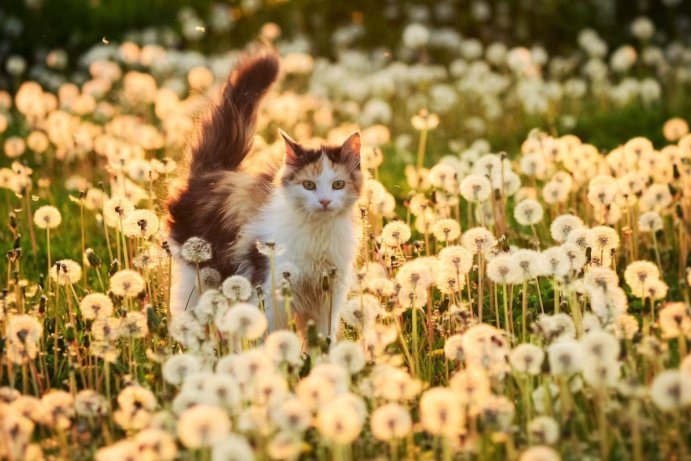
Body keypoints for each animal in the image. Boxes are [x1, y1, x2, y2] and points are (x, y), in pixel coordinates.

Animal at [166, 52, 364, 336]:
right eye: (309, 185)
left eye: (338, 185)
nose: (325, 201)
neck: (318, 233)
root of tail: (211, 173)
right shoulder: (273, 290)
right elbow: (272, 334)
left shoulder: (328, 298)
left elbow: (324, 339)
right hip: (199, 276)